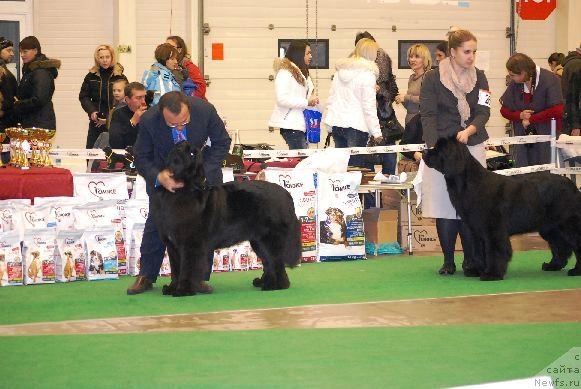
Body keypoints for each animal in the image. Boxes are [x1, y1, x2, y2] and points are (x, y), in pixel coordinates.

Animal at [151, 141, 300, 296]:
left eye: (192, 153)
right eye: (181, 146)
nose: (183, 142)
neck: (181, 189)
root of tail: (285, 193)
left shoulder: (190, 243)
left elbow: (187, 268)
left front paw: (183, 290)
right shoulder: (172, 245)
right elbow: (175, 270)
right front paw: (172, 288)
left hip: (270, 239)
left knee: (276, 261)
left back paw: (276, 285)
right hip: (258, 240)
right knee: (268, 261)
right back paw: (264, 282)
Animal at [422, 136, 580, 278]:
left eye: (439, 149)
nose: (424, 151)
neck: (468, 182)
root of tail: (572, 186)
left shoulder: (493, 228)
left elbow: (494, 250)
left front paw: (492, 274)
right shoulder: (476, 229)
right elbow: (479, 250)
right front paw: (477, 270)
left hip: (567, 225)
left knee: (575, 244)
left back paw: (575, 271)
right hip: (550, 227)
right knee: (560, 245)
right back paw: (553, 266)